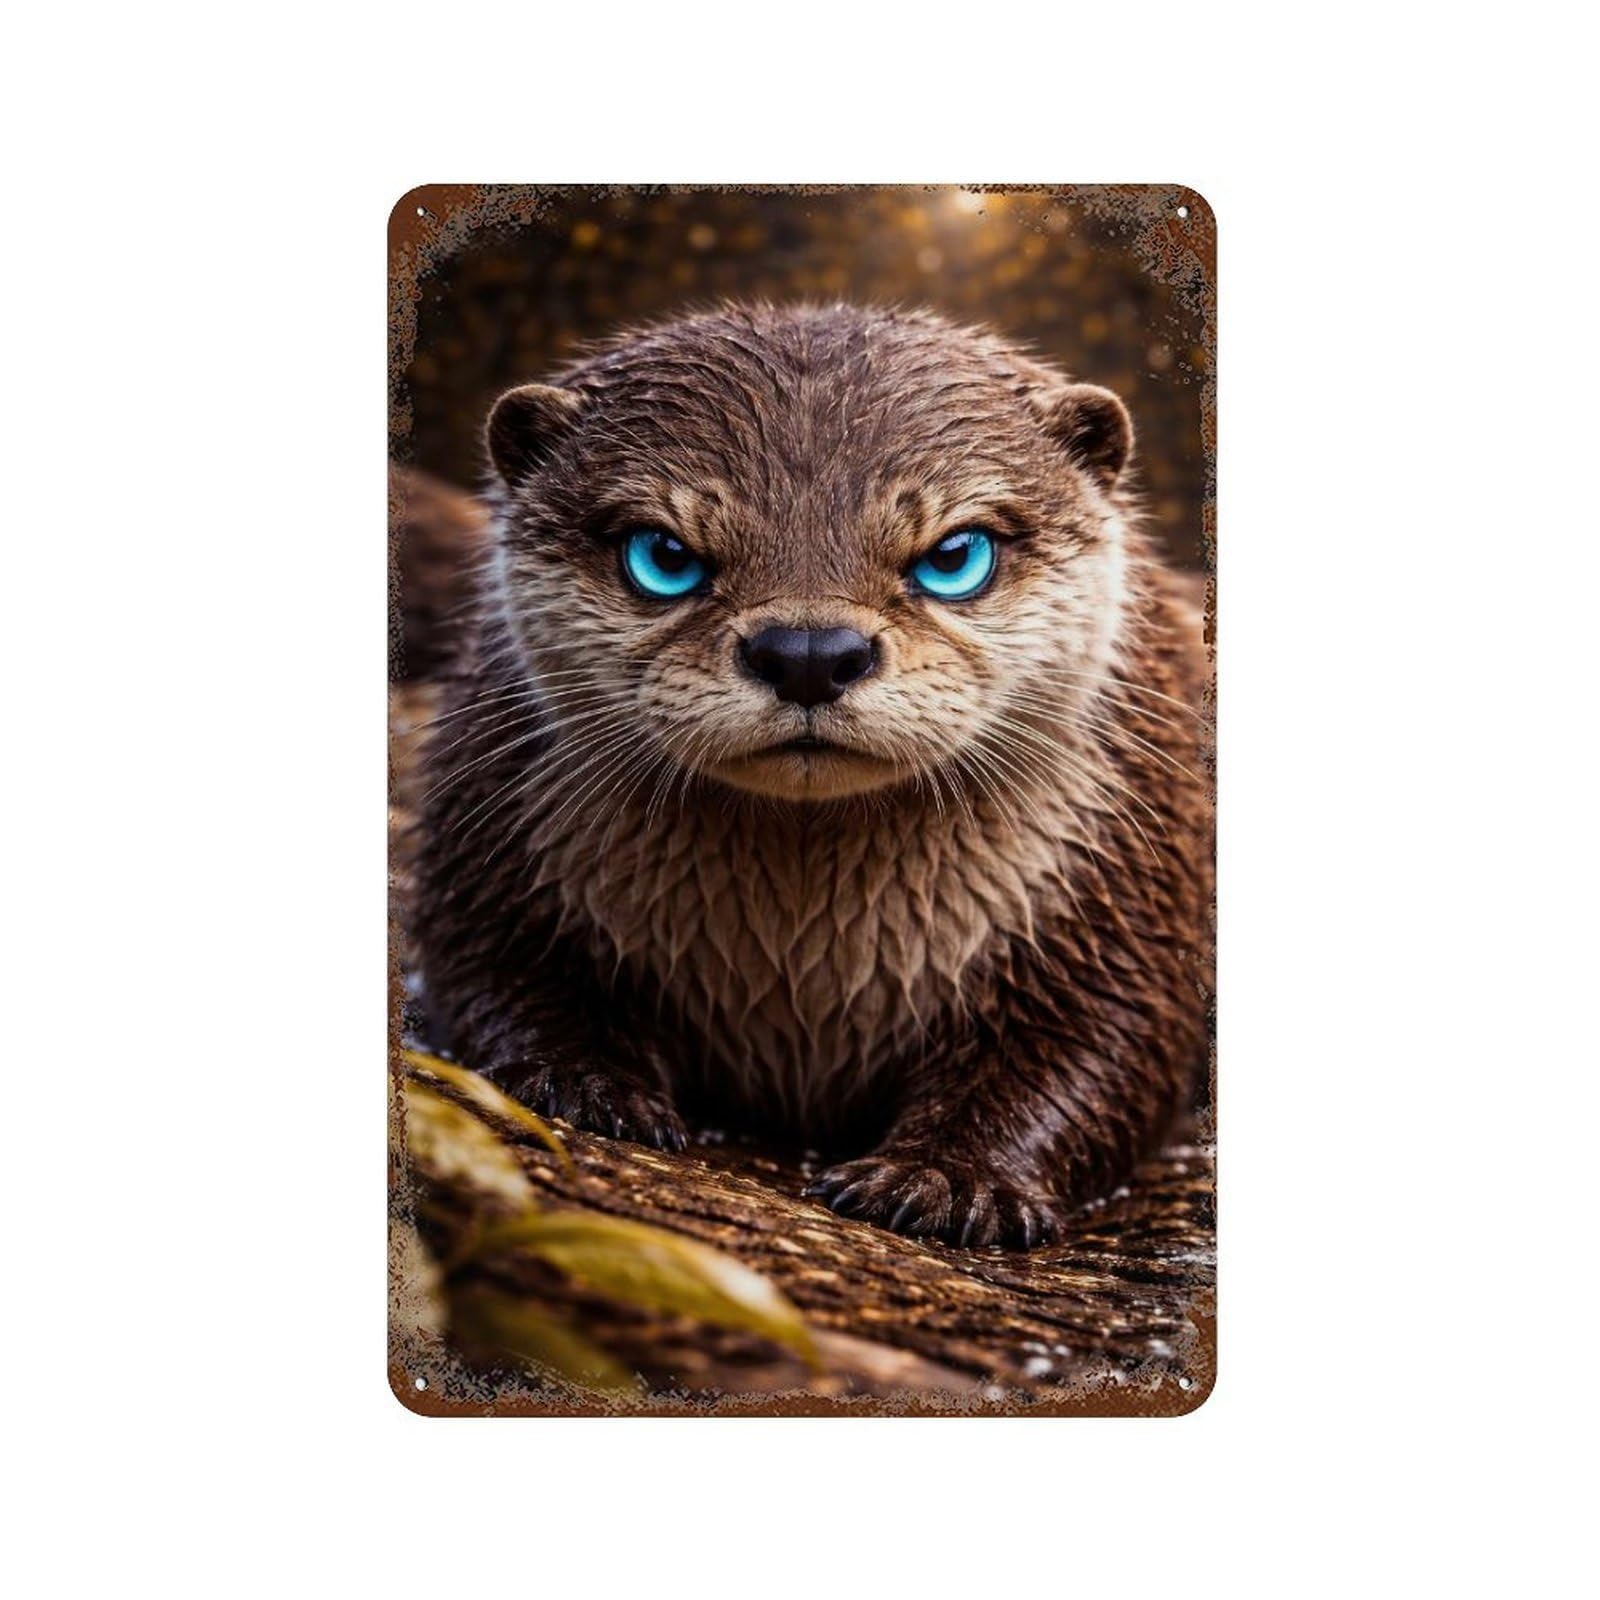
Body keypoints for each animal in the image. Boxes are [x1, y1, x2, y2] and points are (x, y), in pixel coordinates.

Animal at [409, 303, 1212, 1248]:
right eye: (662, 556)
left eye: (955, 556)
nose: (807, 653)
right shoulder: (493, 831)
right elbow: (487, 971)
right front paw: (580, 1081)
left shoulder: (1130, 881)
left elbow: (1108, 1042)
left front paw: (950, 1179)